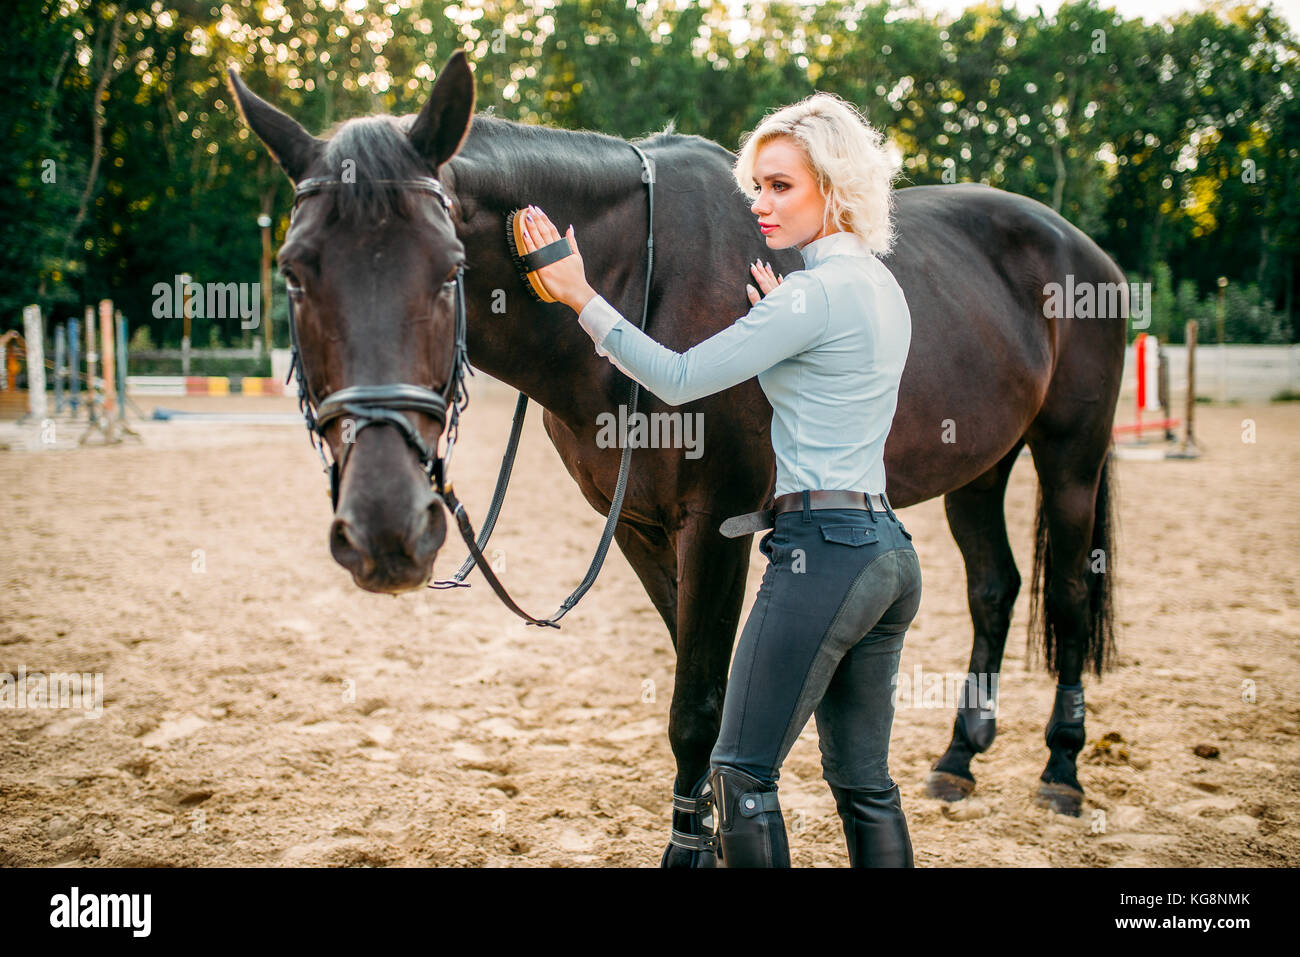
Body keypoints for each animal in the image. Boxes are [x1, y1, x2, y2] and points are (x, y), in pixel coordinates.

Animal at [228, 52, 1123, 868]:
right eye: (295, 273)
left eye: (450, 270)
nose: (385, 530)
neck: (638, 280)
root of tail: (1082, 249)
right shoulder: (638, 528)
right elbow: (713, 698)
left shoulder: (717, 523)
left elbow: (699, 707)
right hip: (978, 467)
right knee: (993, 588)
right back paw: (959, 757)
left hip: (1069, 457)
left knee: (1070, 593)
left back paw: (1062, 768)